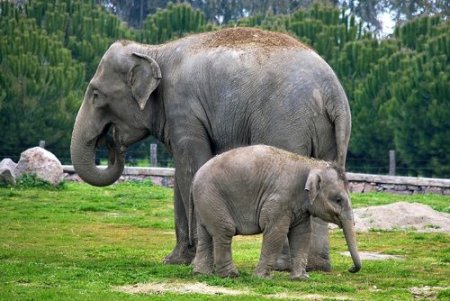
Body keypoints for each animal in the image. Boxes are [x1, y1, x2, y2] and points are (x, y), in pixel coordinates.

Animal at [70, 27, 352, 272]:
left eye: (95, 94)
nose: (109, 140)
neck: (154, 51)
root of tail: (334, 92)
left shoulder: (183, 108)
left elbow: (191, 169)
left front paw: (194, 261)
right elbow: (182, 176)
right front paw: (174, 260)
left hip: (286, 122)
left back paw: (283, 266)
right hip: (326, 133)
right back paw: (315, 267)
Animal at [191, 144, 362, 278]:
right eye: (338, 199)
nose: (351, 268)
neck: (310, 163)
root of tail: (196, 176)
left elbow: (302, 234)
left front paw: (301, 278)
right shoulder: (279, 200)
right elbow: (276, 231)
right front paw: (261, 278)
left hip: (205, 202)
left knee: (205, 233)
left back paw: (201, 273)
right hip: (212, 196)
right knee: (225, 230)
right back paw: (231, 275)